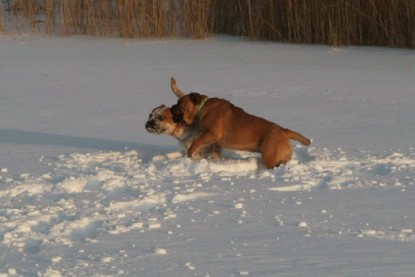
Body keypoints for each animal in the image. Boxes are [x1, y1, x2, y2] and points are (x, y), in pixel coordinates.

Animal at [171, 91, 310, 167]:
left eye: (179, 103)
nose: (172, 106)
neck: (201, 108)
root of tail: (284, 131)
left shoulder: (212, 133)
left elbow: (195, 142)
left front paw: (190, 154)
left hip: (270, 155)